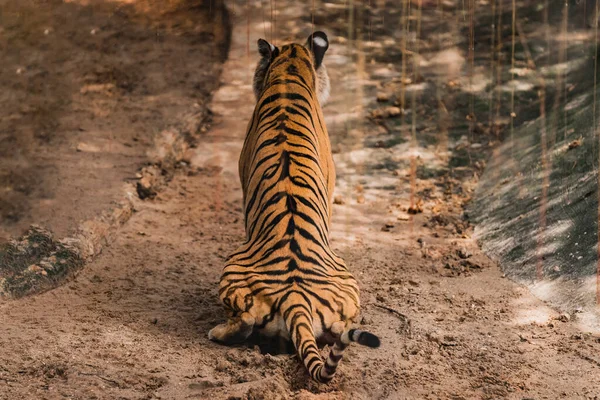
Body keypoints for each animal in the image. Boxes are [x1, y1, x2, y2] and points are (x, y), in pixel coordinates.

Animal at [210, 30, 380, 382]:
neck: (289, 69)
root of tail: (295, 296)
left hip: (232, 267)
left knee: (244, 323)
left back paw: (216, 332)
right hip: (348, 283)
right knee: (340, 328)